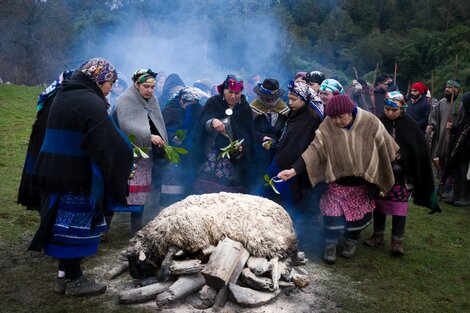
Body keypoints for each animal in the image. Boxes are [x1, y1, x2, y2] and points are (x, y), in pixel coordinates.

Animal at [126, 191, 298, 280]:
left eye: (136, 261)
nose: (133, 275)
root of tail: (286, 216)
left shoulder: (187, 232)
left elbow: (171, 251)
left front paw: (164, 272)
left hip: (266, 237)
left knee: (291, 248)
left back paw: (286, 270)